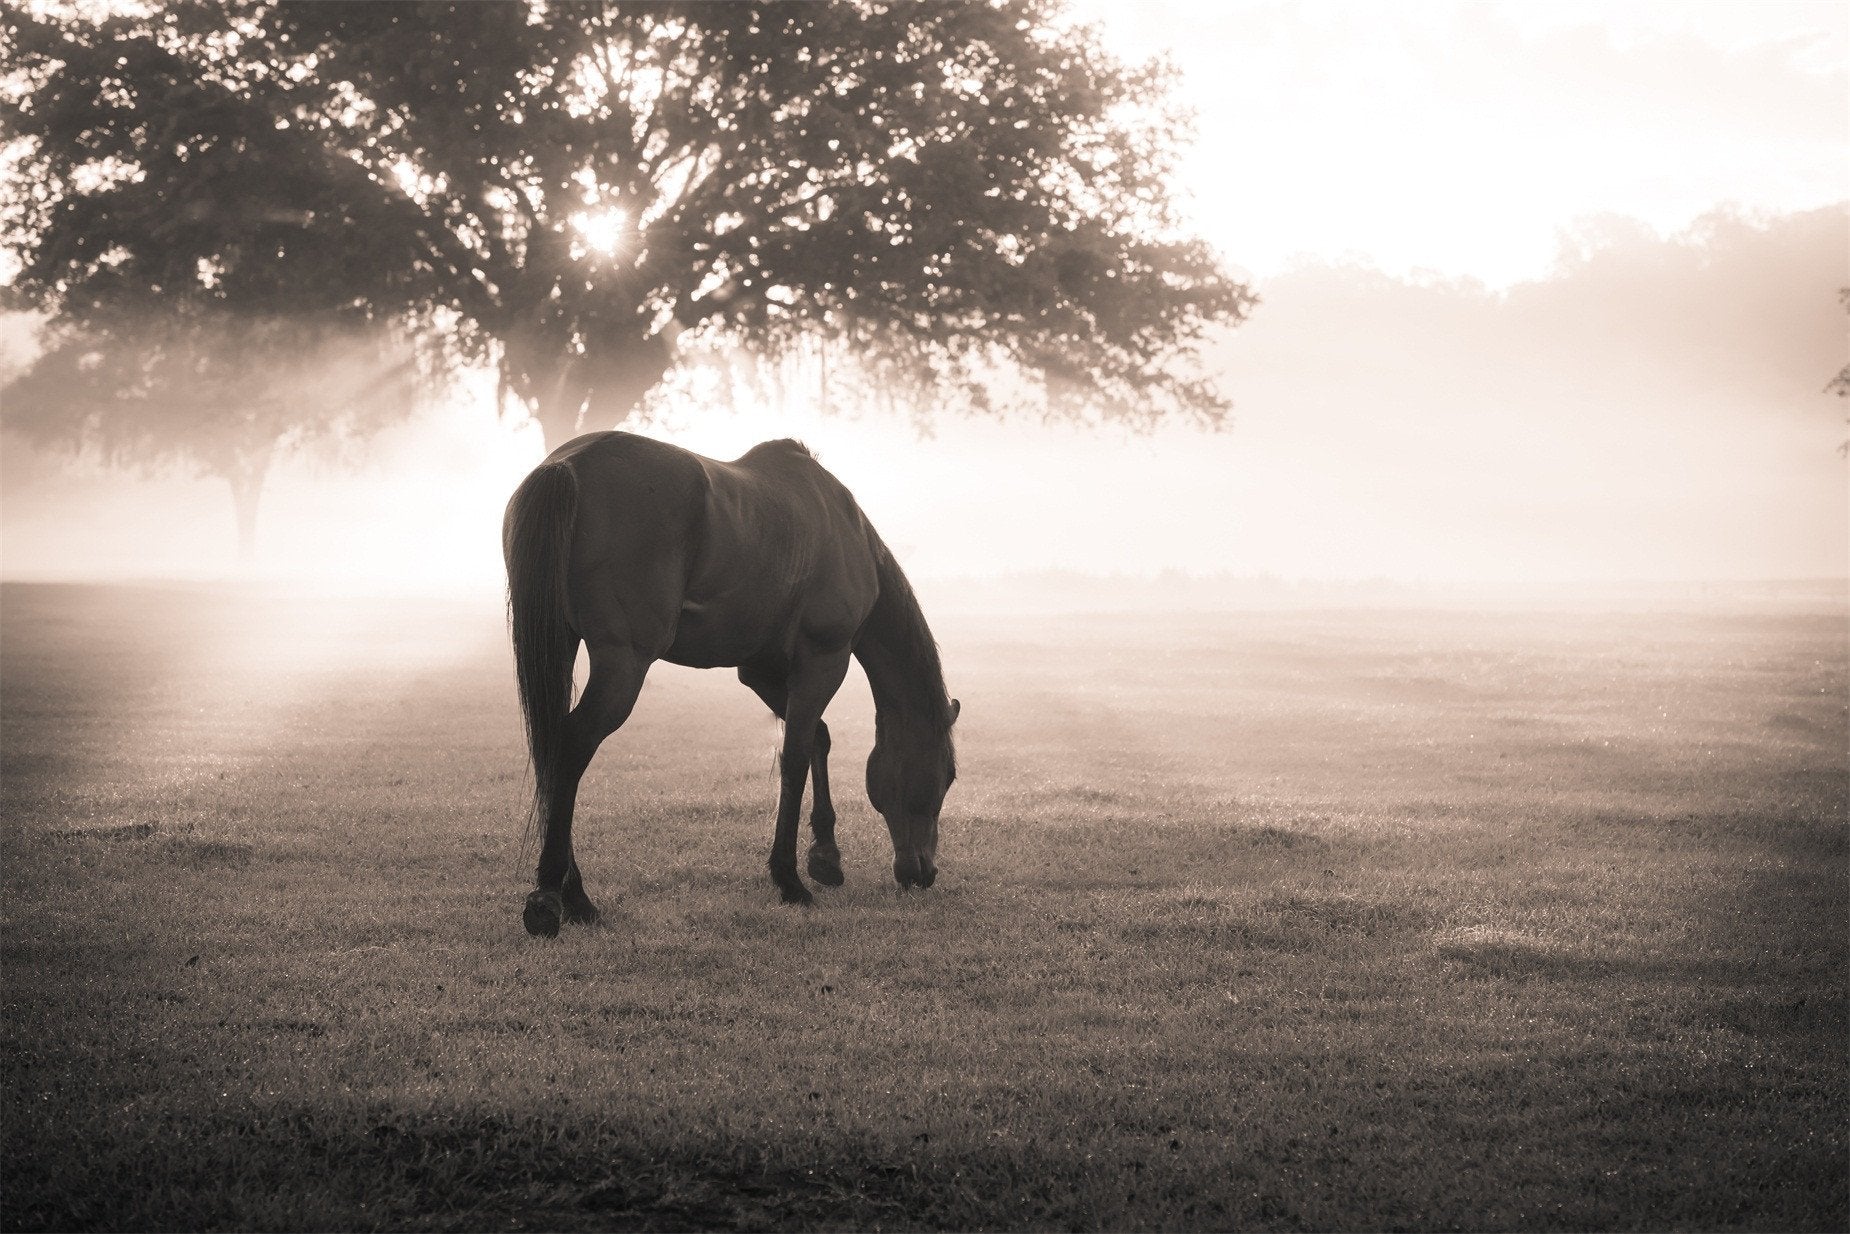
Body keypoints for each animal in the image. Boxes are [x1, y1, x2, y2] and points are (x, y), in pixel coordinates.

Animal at [503, 431, 960, 937]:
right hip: (623, 665)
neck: (846, 531)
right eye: (947, 776)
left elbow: (816, 740)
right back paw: (556, 897)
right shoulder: (824, 661)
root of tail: (566, 466)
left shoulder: (760, 670)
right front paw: (789, 879)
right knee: (571, 747)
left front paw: (825, 858)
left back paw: (571, 894)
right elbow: (796, 756)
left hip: (561, 644)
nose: (924, 872)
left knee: (551, 747)